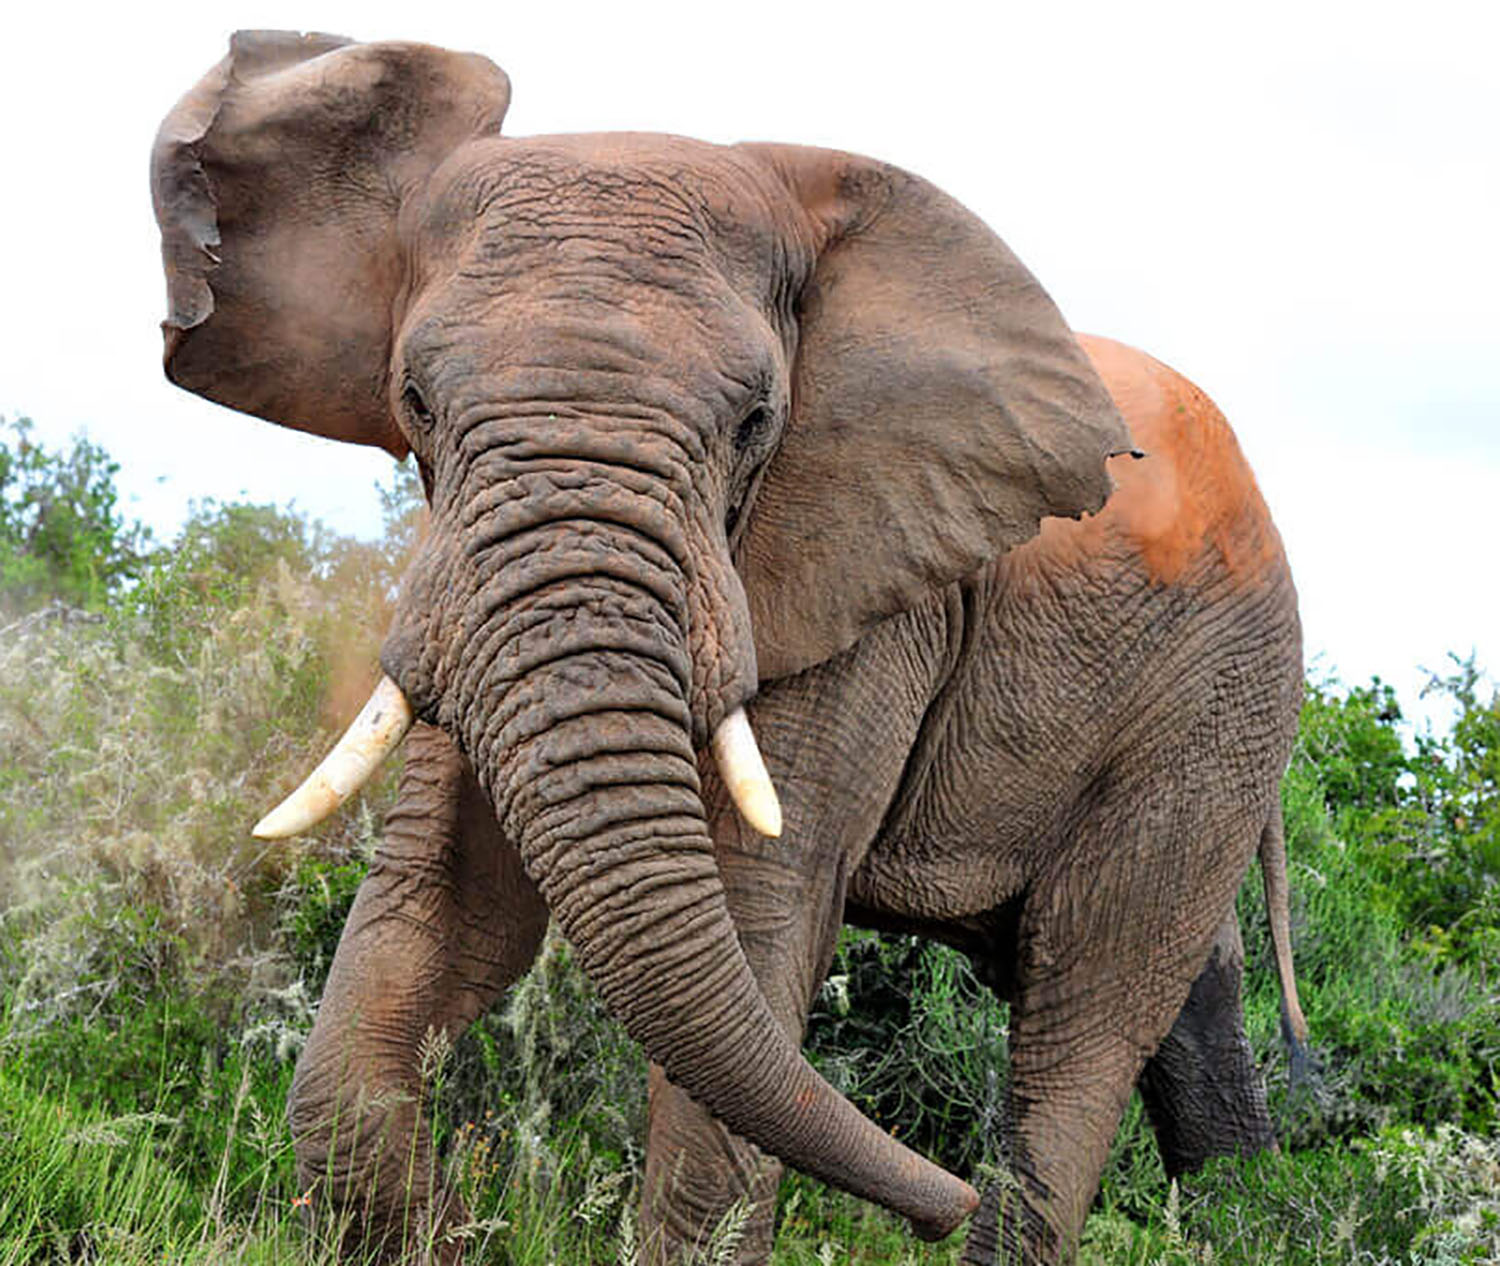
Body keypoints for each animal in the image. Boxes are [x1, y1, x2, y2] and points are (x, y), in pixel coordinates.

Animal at [150, 32, 1307, 1264]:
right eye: (412, 399)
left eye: (757, 422)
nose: (932, 1201)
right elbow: (446, 896)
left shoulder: (867, 580)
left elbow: (760, 907)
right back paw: (1243, 1209)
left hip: (1215, 707)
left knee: (1081, 1019)